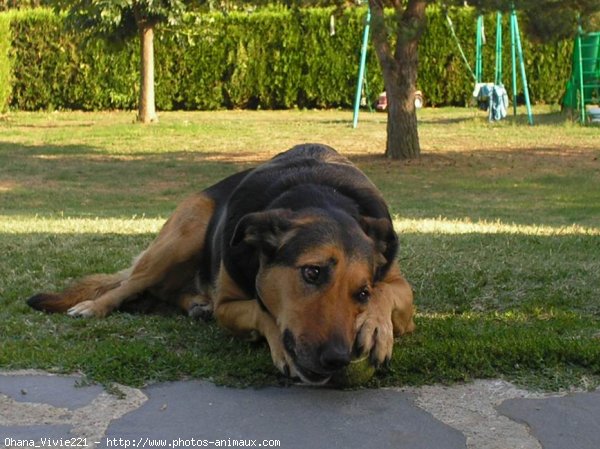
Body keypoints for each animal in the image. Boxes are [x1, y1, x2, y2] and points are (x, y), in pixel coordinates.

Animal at [27, 145, 412, 384]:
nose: (336, 359)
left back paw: (196, 304)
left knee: (166, 291)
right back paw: (93, 306)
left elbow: (388, 293)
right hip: (183, 235)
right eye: (312, 272)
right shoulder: (228, 305)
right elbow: (260, 310)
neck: (316, 190)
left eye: (362, 293)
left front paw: (376, 328)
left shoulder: (401, 288)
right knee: (130, 284)